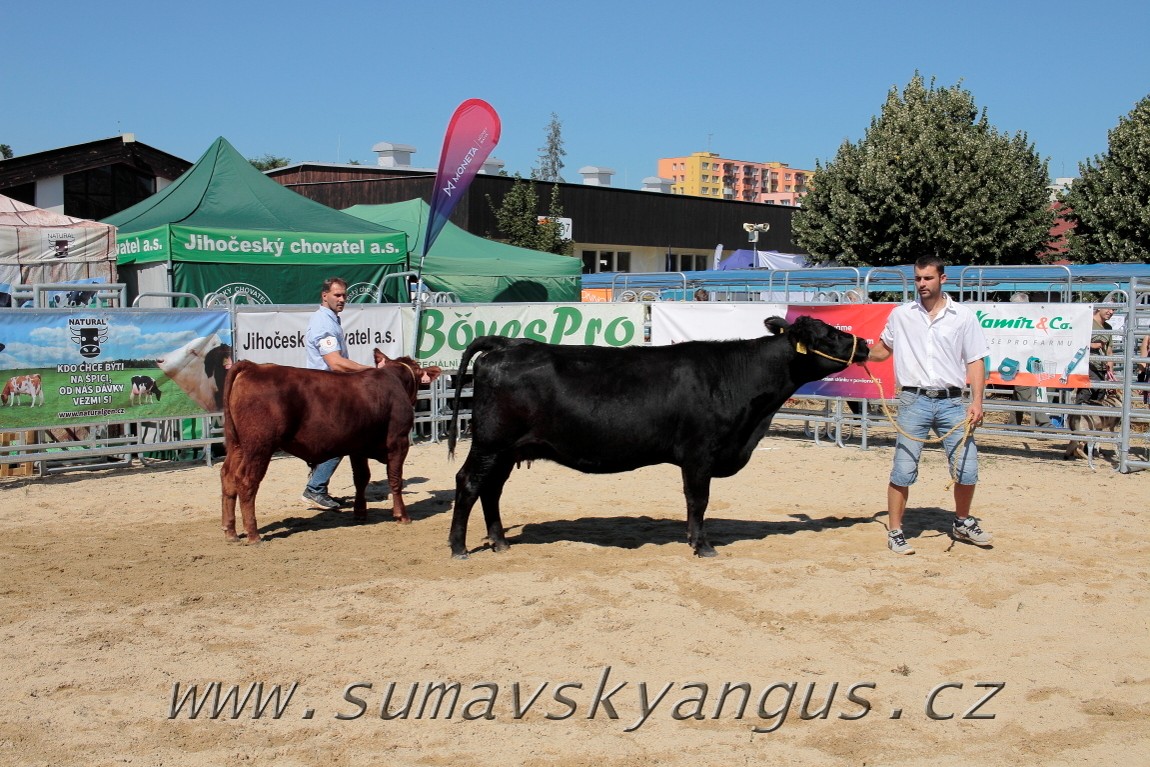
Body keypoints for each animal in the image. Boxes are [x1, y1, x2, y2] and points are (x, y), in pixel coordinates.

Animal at [218, 351, 439, 542]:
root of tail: (253, 367)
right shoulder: (398, 442)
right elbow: (395, 479)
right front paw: (402, 515)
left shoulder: (357, 447)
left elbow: (361, 479)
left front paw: (360, 513)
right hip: (259, 446)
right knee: (246, 480)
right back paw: (253, 534)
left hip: (237, 445)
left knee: (227, 477)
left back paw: (230, 532)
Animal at [443, 315, 864, 561]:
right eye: (828, 334)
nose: (864, 344)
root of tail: (509, 343)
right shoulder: (699, 454)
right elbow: (698, 501)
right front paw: (702, 545)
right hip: (490, 443)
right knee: (469, 483)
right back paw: (460, 547)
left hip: (507, 450)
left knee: (491, 489)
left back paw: (500, 542)